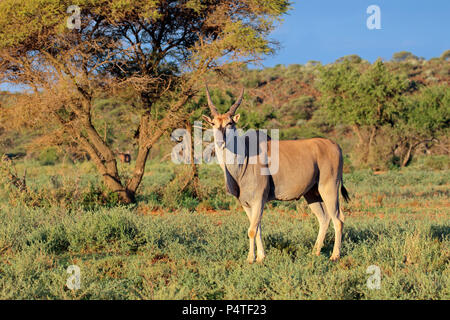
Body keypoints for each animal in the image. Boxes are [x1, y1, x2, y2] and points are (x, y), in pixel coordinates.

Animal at [202, 85, 350, 262]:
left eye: (230, 123)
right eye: (213, 123)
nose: (220, 142)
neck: (244, 156)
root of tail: (335, 145)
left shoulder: (259, 199)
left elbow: (252, 230)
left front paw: (251, 259)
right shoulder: (246, 203)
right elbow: (256, 228)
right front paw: (260, 257)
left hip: (329, 188)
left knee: (338, 219)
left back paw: (335, 255)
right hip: (312, 194)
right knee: (324, 218)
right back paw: (315, 252)